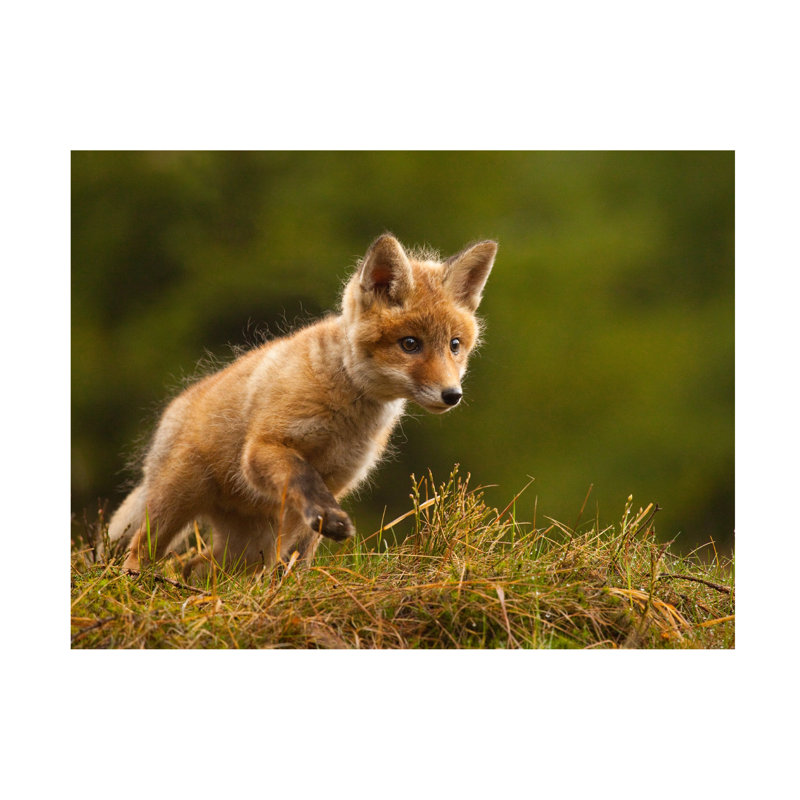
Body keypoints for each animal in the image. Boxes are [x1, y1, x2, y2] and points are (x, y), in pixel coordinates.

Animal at [107, 233, 497, 576]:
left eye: (455, 345)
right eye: (410, 344)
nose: (452, 394)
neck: (346, 417)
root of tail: (173, 411)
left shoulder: (338, 479)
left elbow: (298, 551)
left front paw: (292, 585)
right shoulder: (265, 450)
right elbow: (303, 476)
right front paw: (330, 521)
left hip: (246, 549)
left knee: (193, 566)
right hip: (177, 501)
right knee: (140, 549)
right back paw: (135, 581)